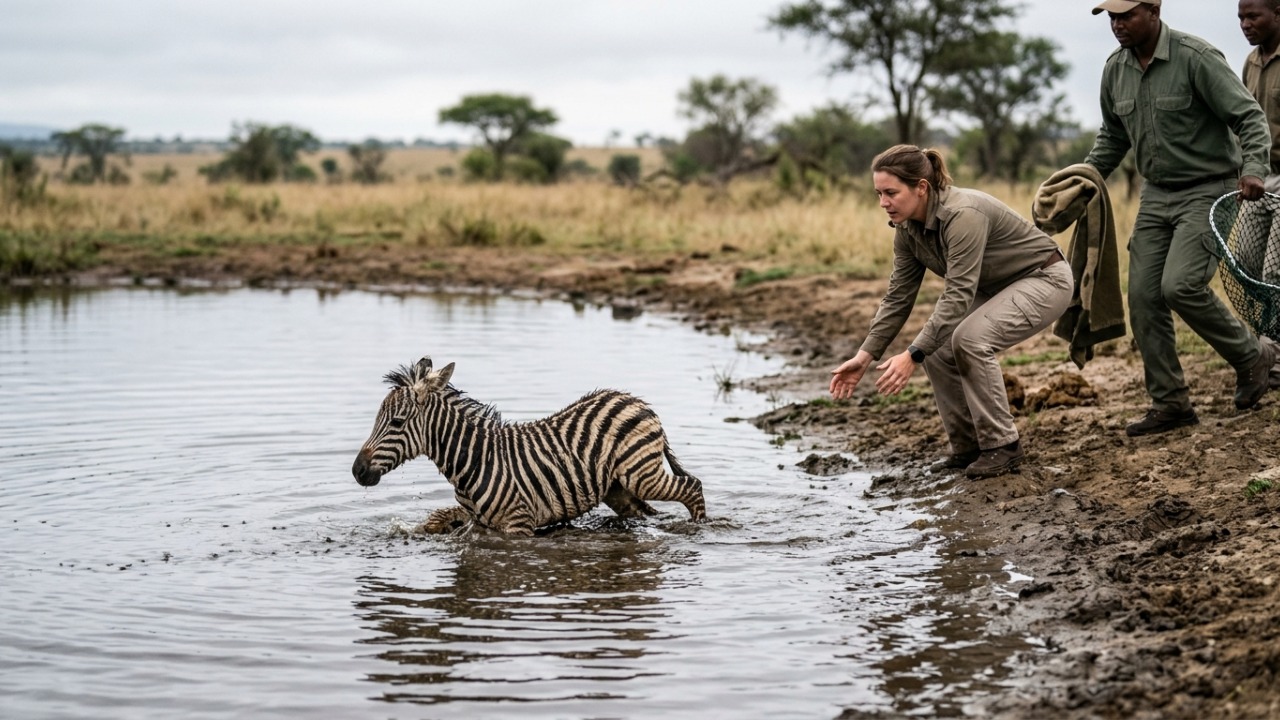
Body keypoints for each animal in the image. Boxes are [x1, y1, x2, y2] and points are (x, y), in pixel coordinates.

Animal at [351, 356, 706, 536]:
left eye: (397, 423)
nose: (357, 471)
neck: (474, 458)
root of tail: (637, 401)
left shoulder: (518, 523)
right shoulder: (481, 524)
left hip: (641, 473)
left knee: (692, 486)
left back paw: (701, 527)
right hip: (617, 487)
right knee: (645, 513)